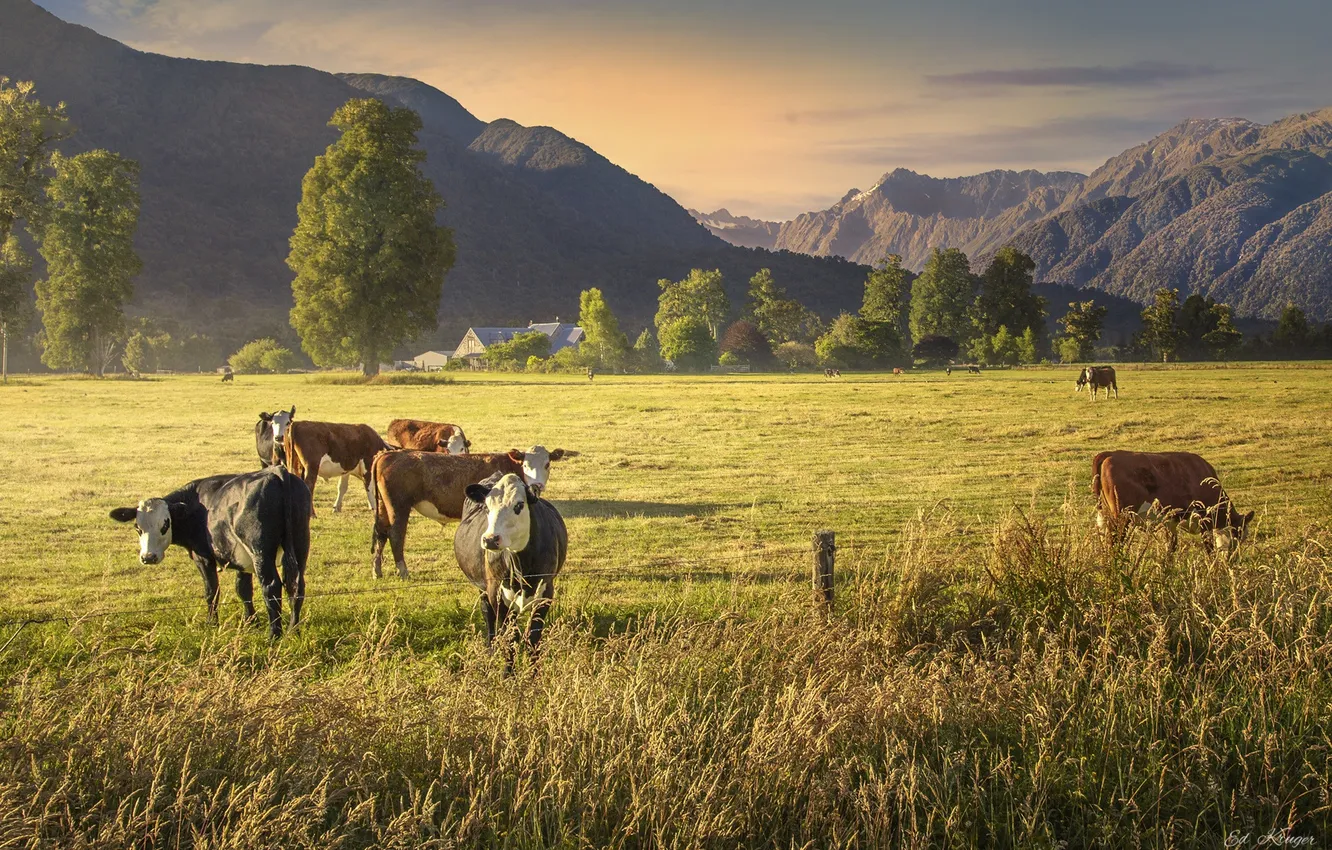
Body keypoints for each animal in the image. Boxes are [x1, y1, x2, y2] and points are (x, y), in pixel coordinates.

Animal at [108, 467, 311, 638]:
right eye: (138, 527)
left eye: (165, 524)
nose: (148, 557)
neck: (196, 505)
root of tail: (277, 471)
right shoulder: (241, 558)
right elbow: (243, 589)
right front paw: (250, 622)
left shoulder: (202, 557)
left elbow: (211, 591)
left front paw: (211, 623)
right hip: (300, 545)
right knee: (296, 586)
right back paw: (293, 630)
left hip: (260, 552)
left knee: (272, 587)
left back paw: (274, 635)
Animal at [369, 446, 570, 579]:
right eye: (526, 464)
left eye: (547, 464)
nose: (537, 485)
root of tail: (390, 454)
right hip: (399, 506)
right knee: (395, 534)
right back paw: (403, 571)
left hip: (383, 508)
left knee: (381, 533)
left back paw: (377, 570)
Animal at [455, 472, 567, 670]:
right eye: (486, 507)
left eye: (519, 505)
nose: (490, 539)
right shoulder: (496, 593)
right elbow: (510, 638)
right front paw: (508, 673)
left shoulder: (545, 591)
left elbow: (533, 638)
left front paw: (533, 672)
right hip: (483, 588)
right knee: (488, 615)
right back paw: (491, 649)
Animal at [1091, 450, 1253, 554]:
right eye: (1238, 534)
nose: (1234, 559)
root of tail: (1109, 454)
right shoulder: (1204, 522)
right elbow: (1209, 549)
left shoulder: (1171, 521)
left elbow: (1171, 548)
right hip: (1121, 517)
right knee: (1114, 543)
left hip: (1105, 515)